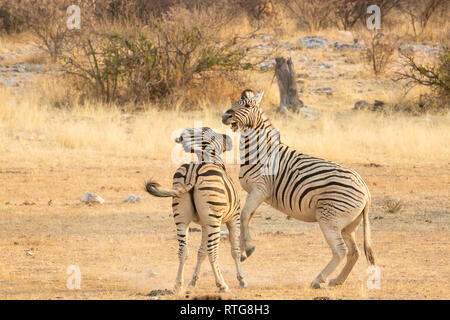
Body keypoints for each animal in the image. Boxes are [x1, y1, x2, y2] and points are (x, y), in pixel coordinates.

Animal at [144, 127, 248, 292]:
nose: (230, 139)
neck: (209, 158)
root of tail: (194, 170)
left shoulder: (205, 224)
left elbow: (201, 252)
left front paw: (193, 281)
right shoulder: (234, 218)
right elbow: (235, 251)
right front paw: (242, 280)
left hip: (182, 218)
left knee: (183, 250)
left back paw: (178, 284)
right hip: (214, 221)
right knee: (213, 251)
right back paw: (222, 284)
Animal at [222, 89, 376, 288]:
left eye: (248, 105)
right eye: (234, 103)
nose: (225, 115)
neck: (259, 151)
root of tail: (365, 188)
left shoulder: (260, 189)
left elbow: (244, 215)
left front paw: (247, 248)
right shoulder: (256, 193)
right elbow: (246, 217)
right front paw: (243, 251)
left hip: (329, 219)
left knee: (341, 251)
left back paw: (318, 280)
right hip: (348, 225)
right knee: (354, 252)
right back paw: (337, 280)